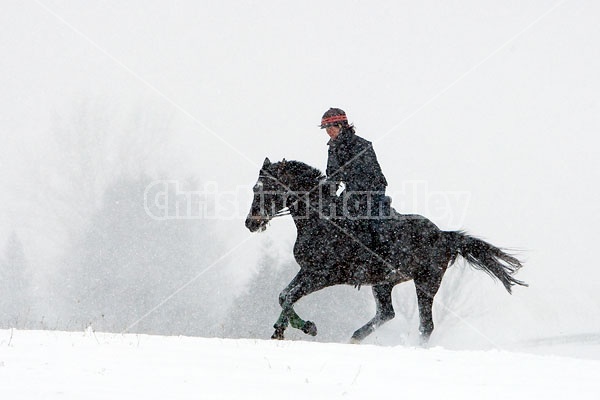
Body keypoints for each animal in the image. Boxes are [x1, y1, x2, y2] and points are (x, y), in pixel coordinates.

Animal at [244, 158, 524, 342]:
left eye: (265, 188)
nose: (250, 223)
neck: (322, 219)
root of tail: (444, 236)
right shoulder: (307, 271)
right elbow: (284, 295)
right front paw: (280, 330)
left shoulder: (324, 275)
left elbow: (290, 296)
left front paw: (307, 327)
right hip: (383, 283)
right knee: (387, 313)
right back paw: (354, 338)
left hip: (426, 283)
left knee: (426, 326)